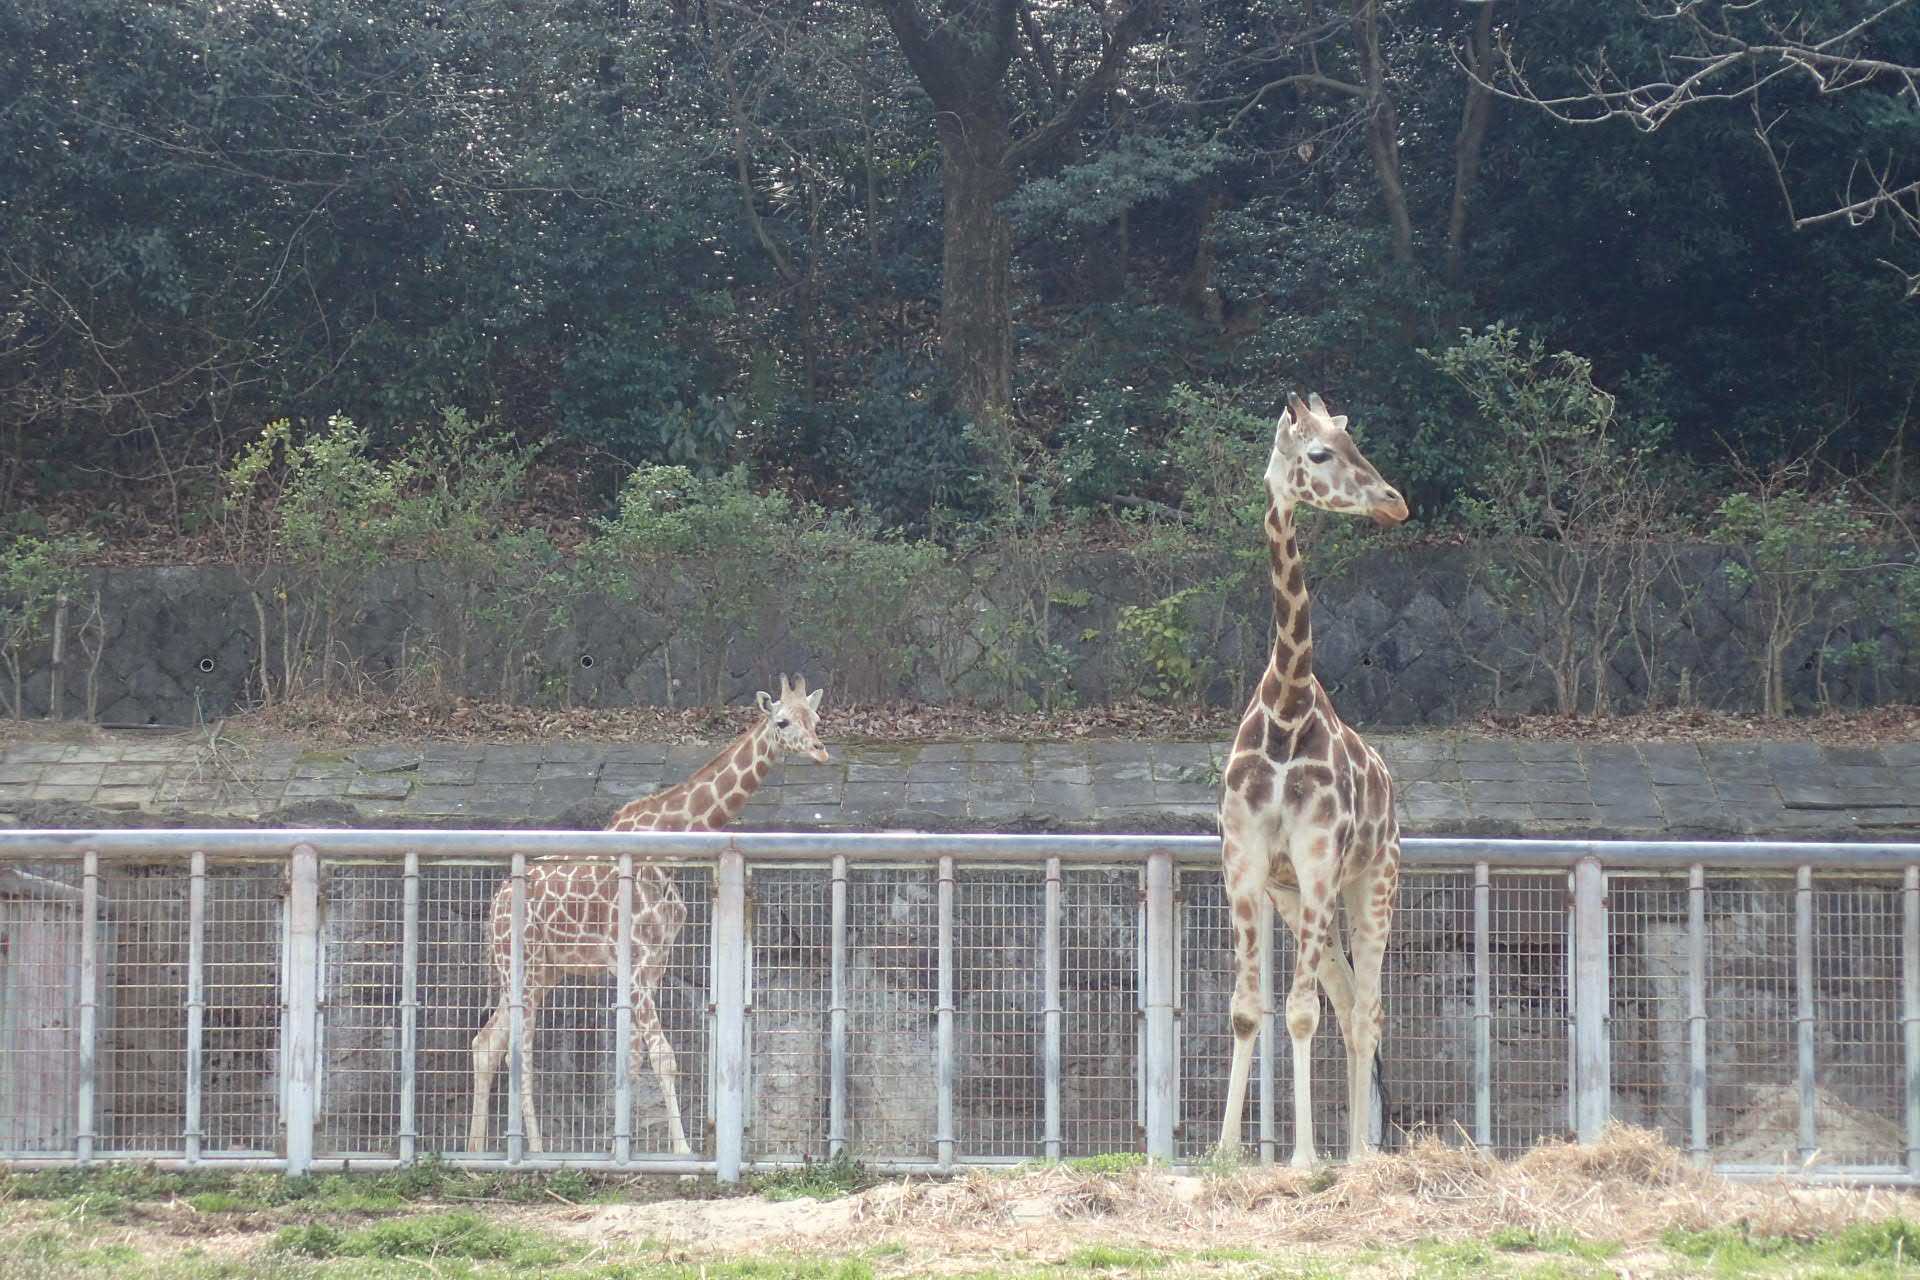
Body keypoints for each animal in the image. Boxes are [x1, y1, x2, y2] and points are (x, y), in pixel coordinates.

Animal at [468, 675, 829, 1159]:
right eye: (783, 720)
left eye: (817, 718)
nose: (820, 751)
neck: (667, 854)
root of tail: (496, 903)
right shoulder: (636, 962)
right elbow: (663, 1056)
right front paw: (682, 1152)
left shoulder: (655, 963)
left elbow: (636, 1058)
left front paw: (627, 1148)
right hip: (518, 963)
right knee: (517, 1052)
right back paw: (535, 1152)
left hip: (542, 971)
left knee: (487, 1043)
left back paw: (474, 1149)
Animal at [1213, 395, 1413, 1166]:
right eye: (1319, 454)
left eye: (1354, 443)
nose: (1395, 501)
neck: (1286, 707)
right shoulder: (1246, 862)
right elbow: (1249, 1011)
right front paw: (1224, 1154)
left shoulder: (1322, 858)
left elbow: (1301, 1014)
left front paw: (1301, 1159)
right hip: (1299, 899)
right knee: (1347, 996)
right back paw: (1352, 1147)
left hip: (1373, 882)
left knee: (1367, 1010)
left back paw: (1357, 1155)